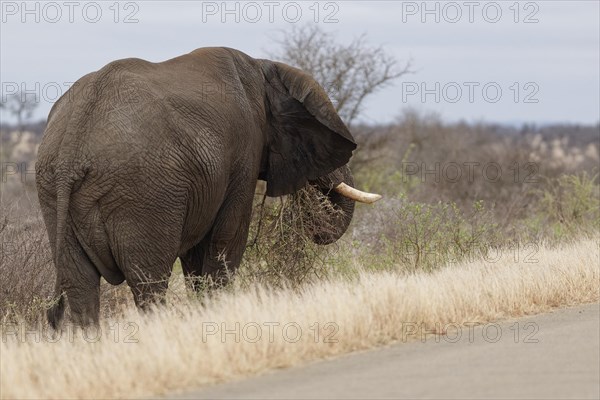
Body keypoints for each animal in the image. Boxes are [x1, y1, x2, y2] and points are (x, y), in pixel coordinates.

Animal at [35, 47, 382, 328]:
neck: (263, 67)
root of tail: (73, 143)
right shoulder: (244, 150)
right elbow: (227, 238)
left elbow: (195, 256)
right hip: (140, 196)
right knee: (148, 284)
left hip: (53, 192)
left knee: (81, 287)